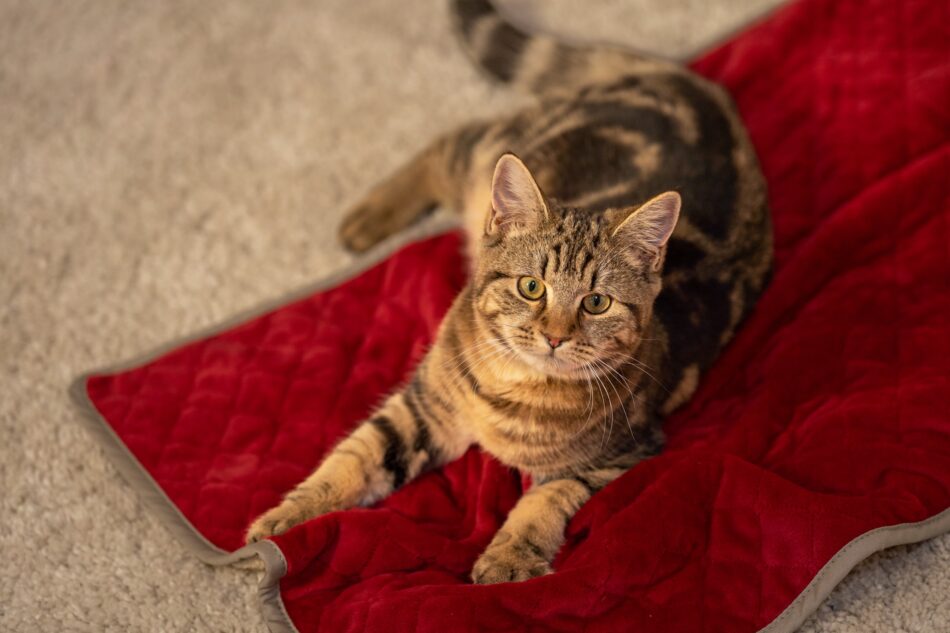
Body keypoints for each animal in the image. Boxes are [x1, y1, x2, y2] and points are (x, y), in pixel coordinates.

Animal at [245, 0, 772, 584]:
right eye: (531, 286)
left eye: (596, 302)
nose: (555, 336)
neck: (517, 389)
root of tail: (689, 82)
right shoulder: (426, 404)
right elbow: (354, 457)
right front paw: (285, 516)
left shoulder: (621, 454)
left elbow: (545, 498)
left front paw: (509, 556)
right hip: (487, 153)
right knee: (448, 142)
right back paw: (366, 218)